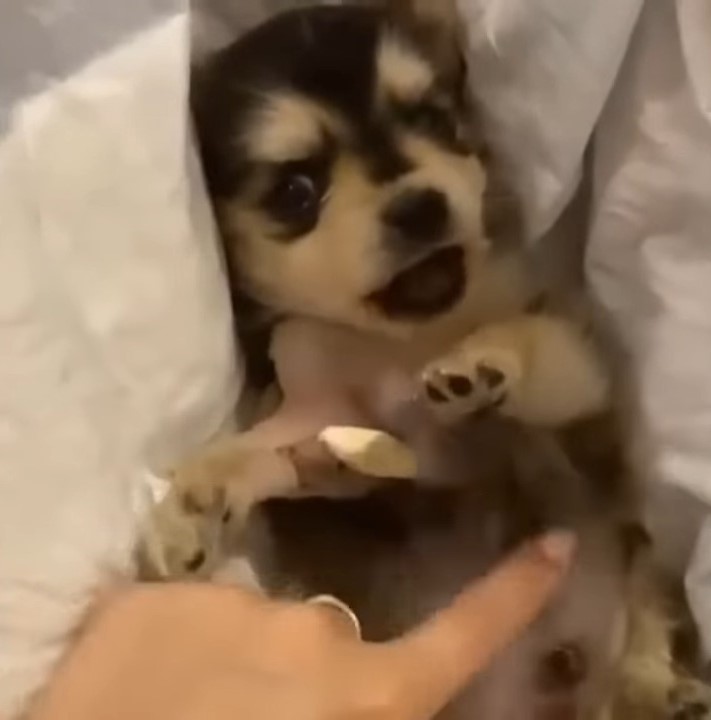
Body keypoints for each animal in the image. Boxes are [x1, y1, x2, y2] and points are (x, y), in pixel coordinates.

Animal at [139, 2, 711, 716]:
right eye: (296, 191)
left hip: (640, 571)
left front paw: (487, 361)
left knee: (648, 611)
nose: (420, 206)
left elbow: (538, 350)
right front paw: (194, 502)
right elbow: (263, 453)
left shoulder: (572, 401)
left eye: (435, 121)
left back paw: (662, 686)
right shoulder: (322, 427)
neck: (399, 344)